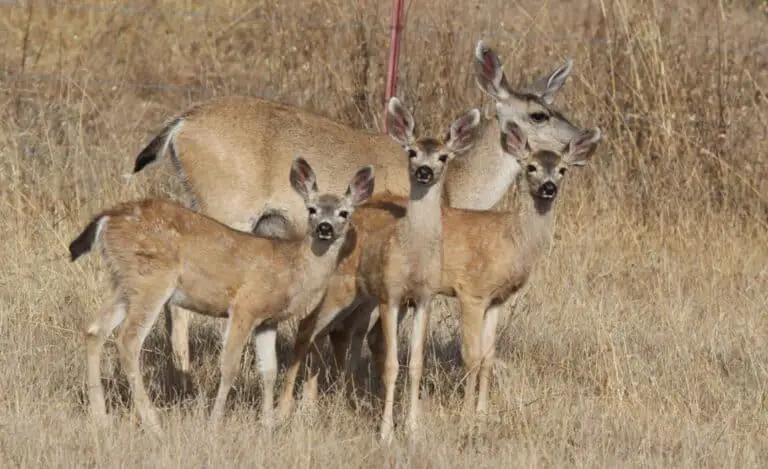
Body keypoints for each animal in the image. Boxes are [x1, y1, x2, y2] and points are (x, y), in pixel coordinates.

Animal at [70, 157, 376, 436]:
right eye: (311, 209)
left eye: (344, 212)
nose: (324, 228)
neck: (291, 268)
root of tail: (107, 219)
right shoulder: (244, 306)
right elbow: (229, 366)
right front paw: (215, 422)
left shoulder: (268, 321)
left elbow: (269, 371)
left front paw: (268, 424)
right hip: (152, 279)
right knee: (128, 340)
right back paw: (153, 423)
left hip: (126, 283)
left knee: (94, 329)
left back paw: (101, 418)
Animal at [134, 40, 588, 380]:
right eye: (539, 114)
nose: (581, 139)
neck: (455, 184)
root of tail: (181, 123)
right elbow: (370, 335)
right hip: (227, 204)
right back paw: (185, 372)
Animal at [276, 97, 480, 440]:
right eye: (411, 151)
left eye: (443, 156)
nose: (424, 171)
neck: (412, 254)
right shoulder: (390, 295)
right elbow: (391, 364)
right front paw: (386, 433)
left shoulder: (424, 298)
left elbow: (416, 364)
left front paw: (413, 429)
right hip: (338, 289)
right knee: (306, 327)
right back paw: (287, 410)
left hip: (359, 299)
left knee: (330, 333)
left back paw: (320, 406)